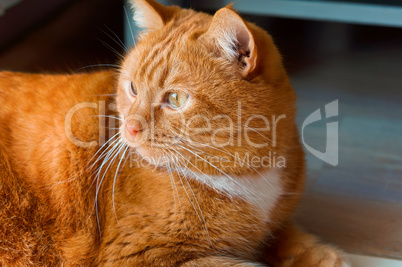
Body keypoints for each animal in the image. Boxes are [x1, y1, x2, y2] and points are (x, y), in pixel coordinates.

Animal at [0, 1, 348, 266]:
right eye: (132, 88)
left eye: (176, 99)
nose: (130, 127)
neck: (245, 174)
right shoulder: (140, 254)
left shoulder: (273, 222)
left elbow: (291, 236)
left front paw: (324, 255)